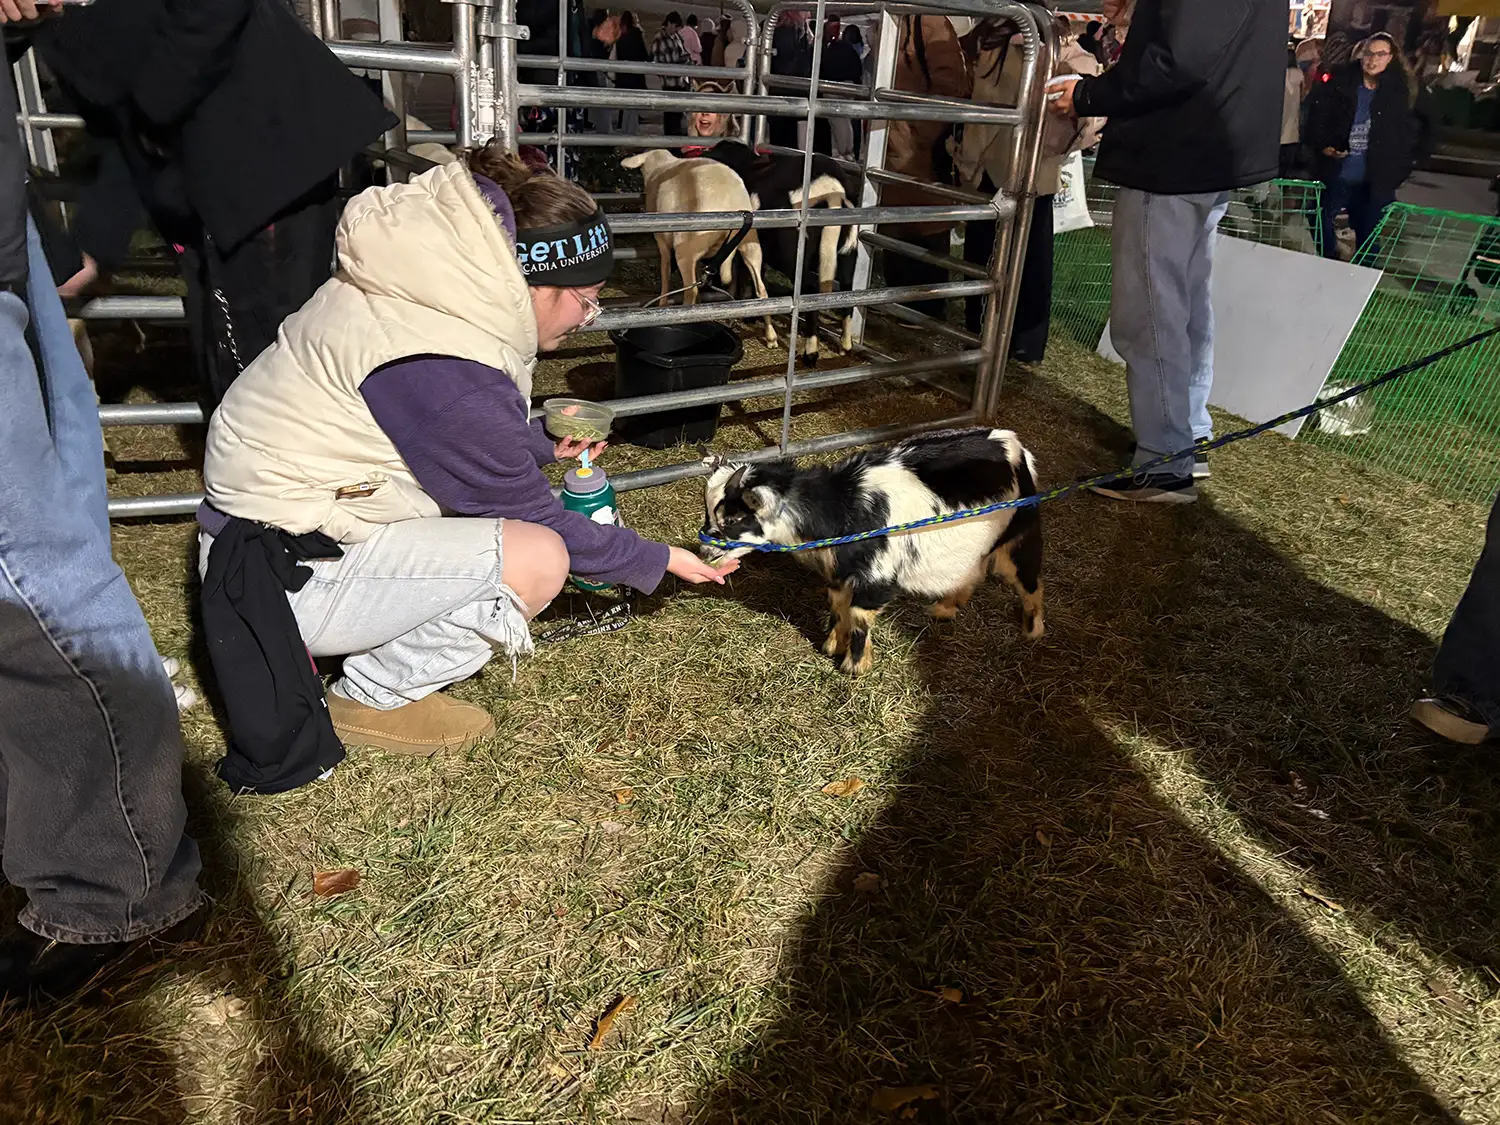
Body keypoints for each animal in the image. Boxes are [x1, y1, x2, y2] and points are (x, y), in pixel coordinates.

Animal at [705, 138, 864, 363]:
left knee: (809, 289)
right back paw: (845, 345)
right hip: (848, 252)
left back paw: (810, 351)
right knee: (847, 294)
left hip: (791, 255)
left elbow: (745, 279)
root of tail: (832, 188)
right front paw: (751, 316)